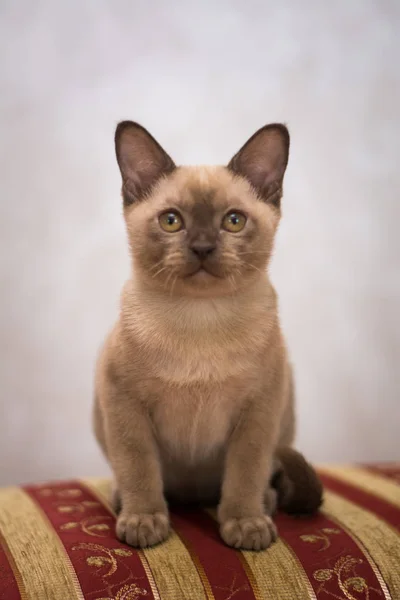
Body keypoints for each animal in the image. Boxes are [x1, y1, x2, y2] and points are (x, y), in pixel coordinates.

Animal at [94, 119, 322, 552]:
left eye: (233, 221)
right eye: (171, 221)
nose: (202, 247)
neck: (201, 318)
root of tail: (193, 496)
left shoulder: (258, 410)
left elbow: (245, 472)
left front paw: (245, 525)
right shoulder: (125, 404)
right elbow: (138, 469)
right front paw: (144, 522)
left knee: (256, 479)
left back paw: (263, 506)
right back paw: (124, 503)